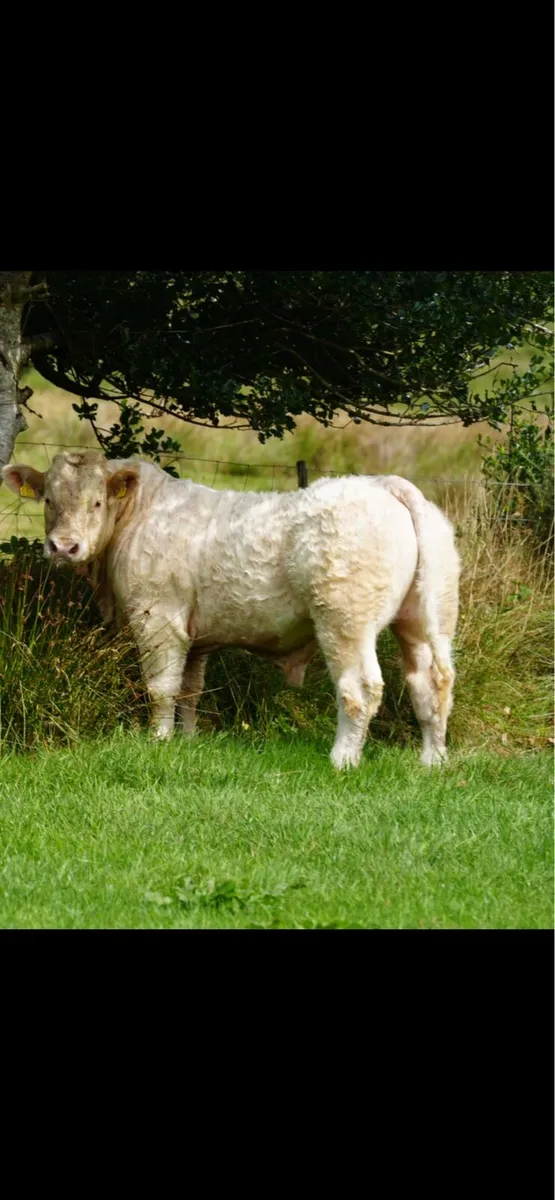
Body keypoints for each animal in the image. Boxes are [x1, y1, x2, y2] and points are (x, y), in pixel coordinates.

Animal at [3, 451, 460, 769]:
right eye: (47, 500)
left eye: (97, 503)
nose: (63, 547)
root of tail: (385, 484)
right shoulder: (196, 636)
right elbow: (190, 689)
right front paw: (187, 741)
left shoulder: (159, 619)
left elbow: (161, 687)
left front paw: (158, 740)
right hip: (425, 620)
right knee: (431, 683)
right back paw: (432, 762)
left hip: (345, 621)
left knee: (360, 689)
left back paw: (343, 759)